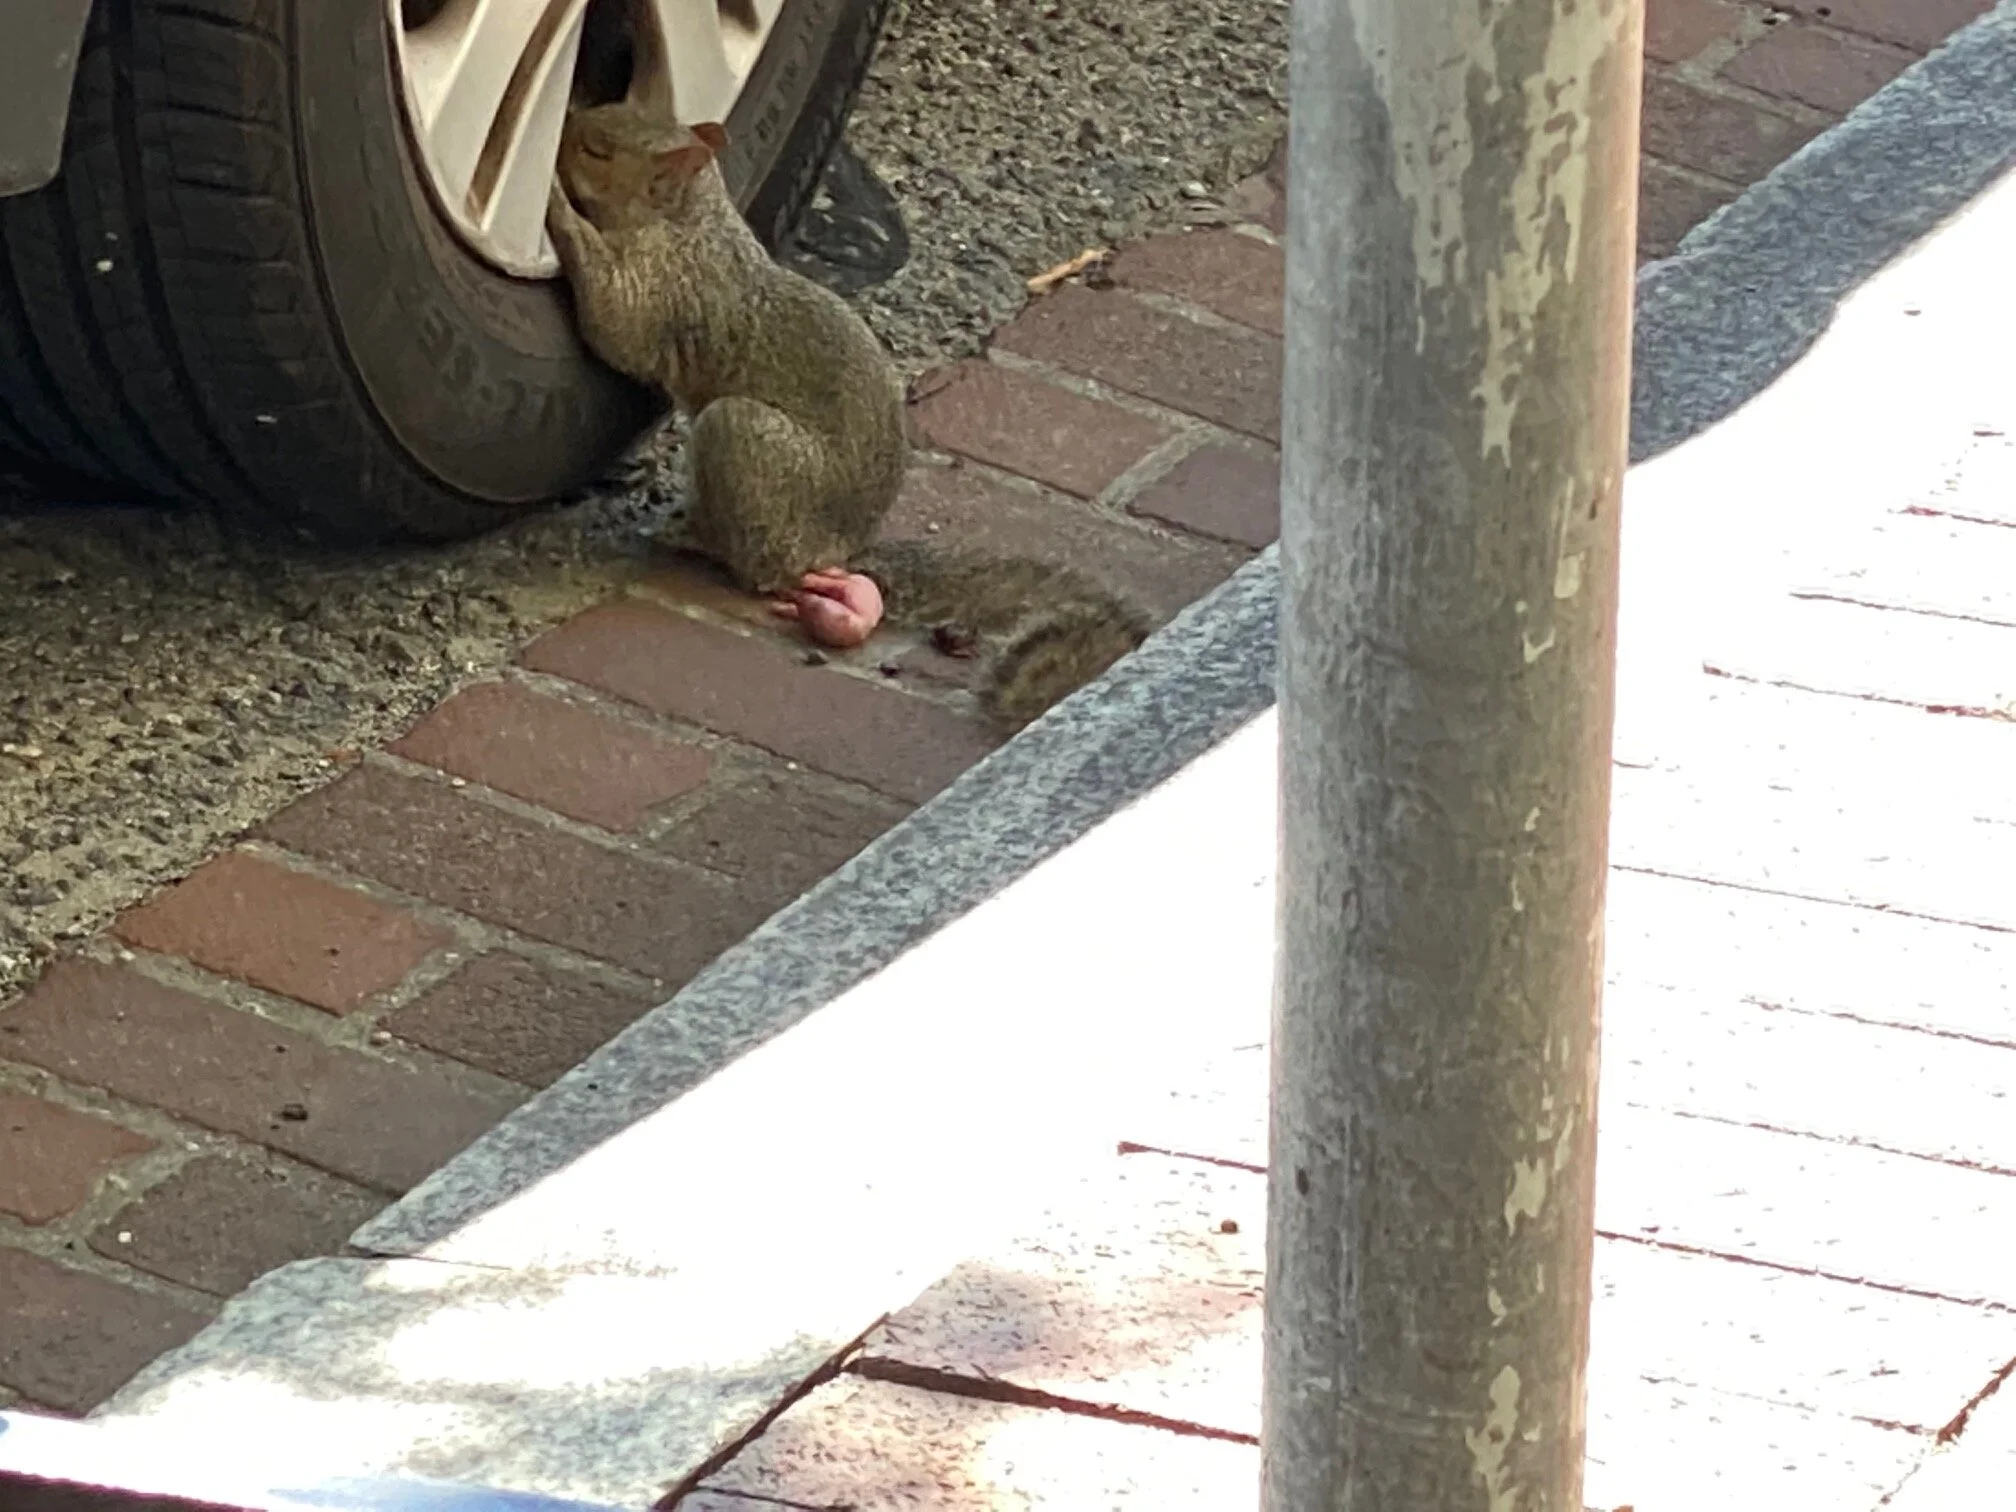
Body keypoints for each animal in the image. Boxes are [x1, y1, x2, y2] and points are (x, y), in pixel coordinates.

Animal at [545, 102, 1150, 730]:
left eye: (598, 150)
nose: (563, 127)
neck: (693, 219)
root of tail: (835, 553)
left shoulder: (670, 289)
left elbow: (617, 325)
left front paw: (557, 210)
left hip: (745, 441)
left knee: (762, 566)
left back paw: (693, 537)